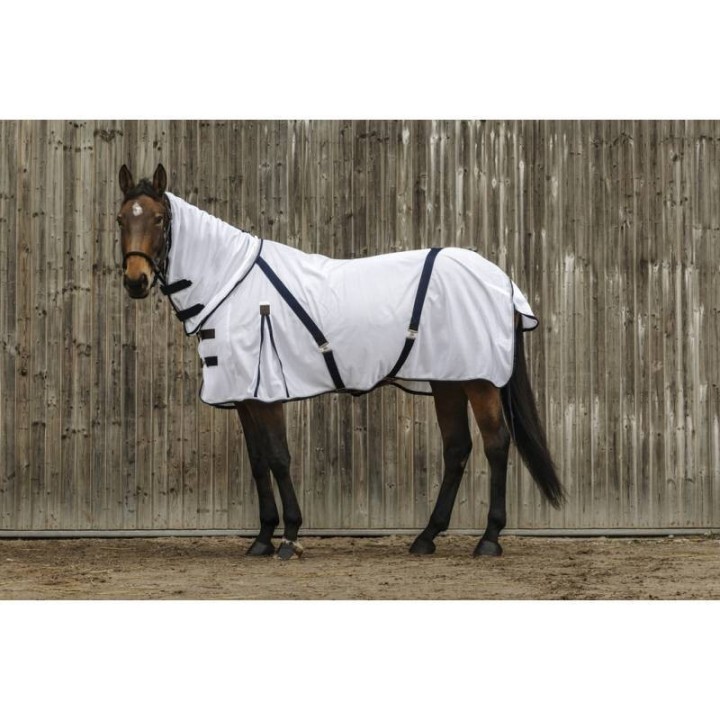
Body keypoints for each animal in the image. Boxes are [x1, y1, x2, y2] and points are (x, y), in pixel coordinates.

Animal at [117, 162, 563, 560]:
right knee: (457, 448)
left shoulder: (267, 393)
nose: (136, 281)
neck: (233, 285)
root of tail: (501, 281)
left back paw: (488, 540)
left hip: (480, 381)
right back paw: (426, 537)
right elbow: (258, 462)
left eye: (159, 219)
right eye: (121, 218)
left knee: (496, 444)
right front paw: (262, 539)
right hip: (448, 380)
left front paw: (289, 538)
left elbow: (278, 457)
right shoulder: (244, 396)